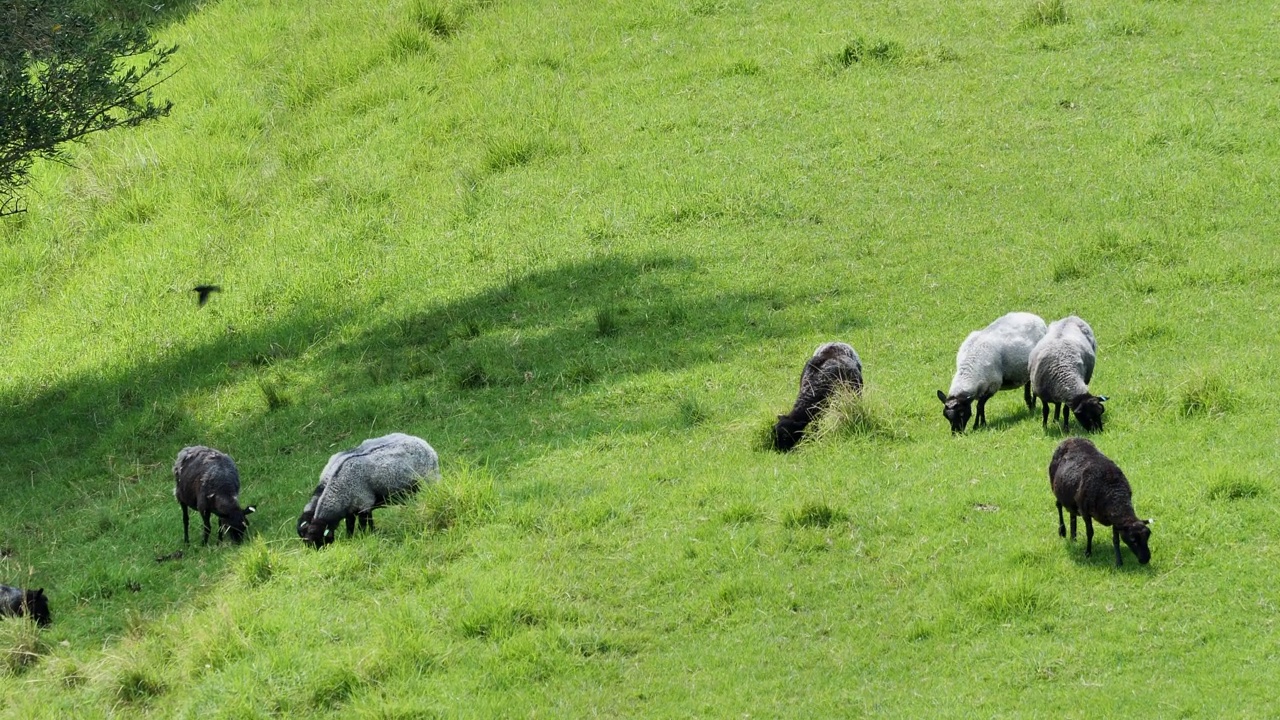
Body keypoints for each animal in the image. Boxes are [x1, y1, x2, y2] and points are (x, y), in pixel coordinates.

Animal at [1049, 435, 1152, 563]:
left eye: (1147, 537)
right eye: (1133, 540)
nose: (1146, 559)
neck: (1113, 489)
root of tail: (1071, 438)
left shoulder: (1114, 518)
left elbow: (1116, 539)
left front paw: (1119, 561)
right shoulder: (1085, 512)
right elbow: (1090, 532)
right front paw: (1088, 553)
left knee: (1072, 515)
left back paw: (1073, 538)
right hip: (1055, 487)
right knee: (1058, 505)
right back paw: (1062, 531)